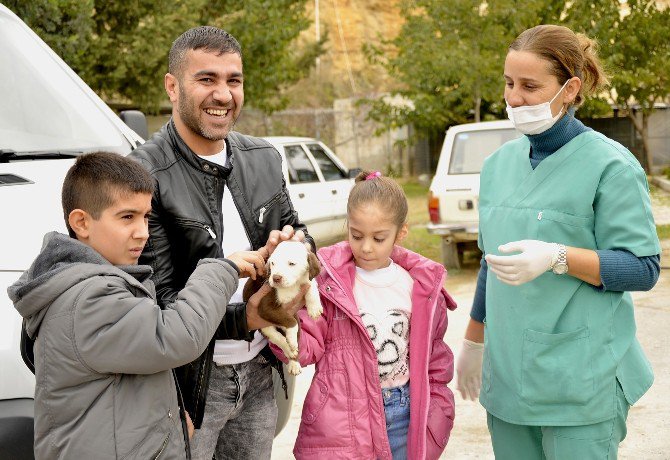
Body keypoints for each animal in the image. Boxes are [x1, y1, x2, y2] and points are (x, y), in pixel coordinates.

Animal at [244, 241, 322, 374]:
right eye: (273, 263)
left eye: (292, 264)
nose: (276, 278)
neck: (291, 286)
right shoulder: (265, 306)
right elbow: (291, 322)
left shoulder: (306, 280)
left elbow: (311, 283)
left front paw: (314, 308)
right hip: (263, 326)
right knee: (276, 337)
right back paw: (290, 348)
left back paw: (294, 363)